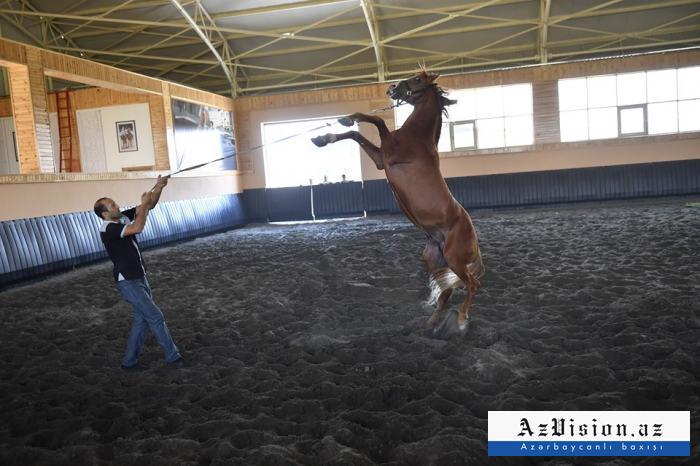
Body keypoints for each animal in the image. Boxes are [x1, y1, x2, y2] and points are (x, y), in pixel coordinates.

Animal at [308, 70, 484, 338]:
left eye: (418, 80)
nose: (391, 87)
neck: (417, 138)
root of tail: (474, 242)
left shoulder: (388, 152)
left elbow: (377, 121)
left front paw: (350, 118)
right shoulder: (381, 159)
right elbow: (356, 134)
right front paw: (324, 136)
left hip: (454, 260)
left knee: (473, 285)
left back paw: (461, 319)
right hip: (434, 259)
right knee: (447, 290)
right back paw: (432, 321)